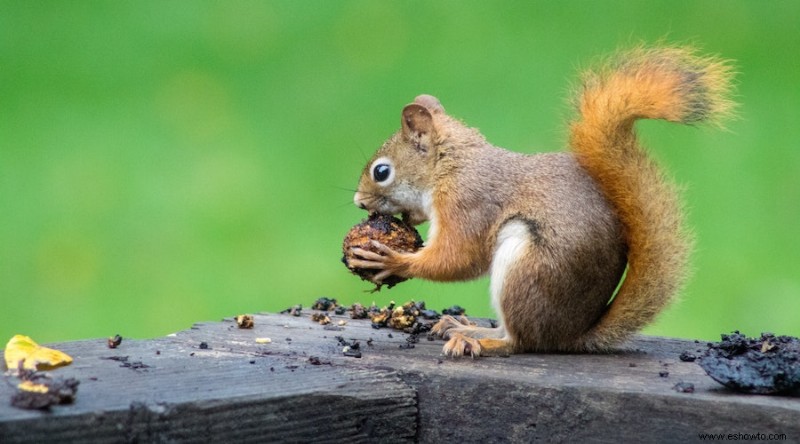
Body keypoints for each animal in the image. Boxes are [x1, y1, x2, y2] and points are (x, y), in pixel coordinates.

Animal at [346, 46, 736, 358]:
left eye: (382, 171)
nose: (359, 202)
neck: (450, 165)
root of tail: (571, 336)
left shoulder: (468, 202)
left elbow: (459, 258)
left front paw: (393, 259)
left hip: (525, 268)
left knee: (521, 341)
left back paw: (479, 340)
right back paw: (462, 326)